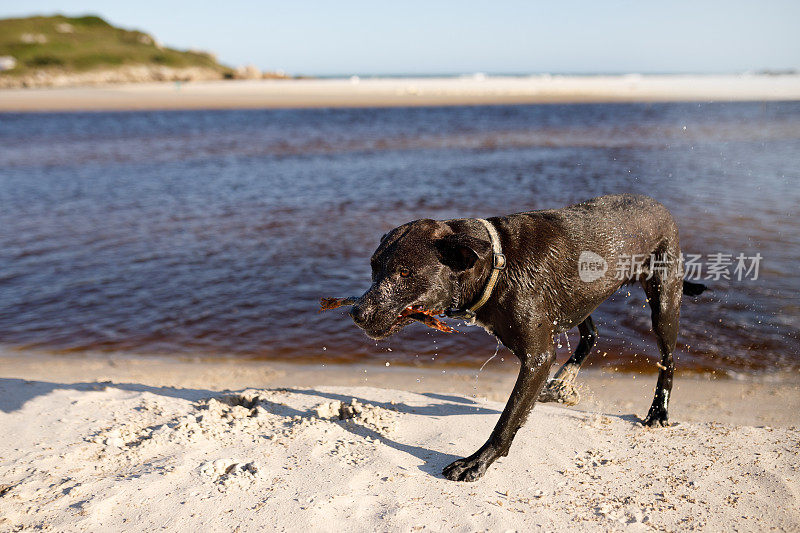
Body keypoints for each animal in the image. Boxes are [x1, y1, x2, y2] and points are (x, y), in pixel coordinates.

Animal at [344, 193, 708, 480]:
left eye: (405, 272)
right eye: (374, 268)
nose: (357, 312)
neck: (495, 264)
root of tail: (659, 205)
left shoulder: (537, 358)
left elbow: (508, 417)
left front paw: (477, 462)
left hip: (663, 299)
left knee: (668, 358)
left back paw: (658, 411)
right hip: (577, 297)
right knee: (591, 333)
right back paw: (562, 382)